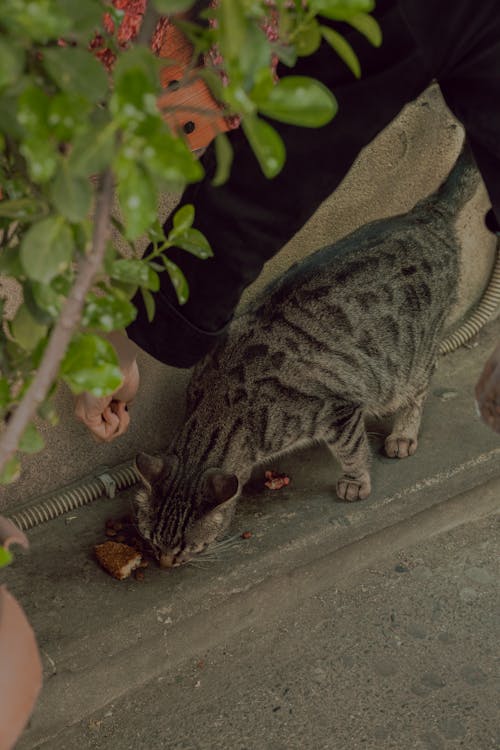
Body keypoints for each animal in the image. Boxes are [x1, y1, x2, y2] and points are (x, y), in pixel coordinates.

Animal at [135, 145, 478, 568]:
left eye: (187, 547)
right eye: (151, 540)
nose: (166, 563)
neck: (222, 406)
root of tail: (427, 212)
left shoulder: (338, 410)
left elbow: (352, 450)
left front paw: (355, 481)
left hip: (410, 362)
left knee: (420, 388)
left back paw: (403, 434)